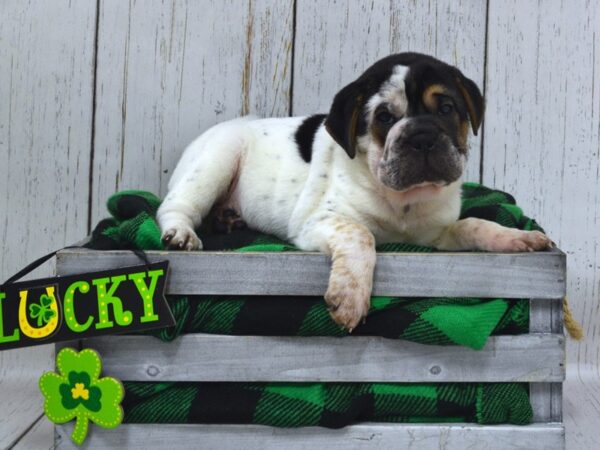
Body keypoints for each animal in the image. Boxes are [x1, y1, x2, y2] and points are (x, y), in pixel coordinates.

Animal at [157, 52, 552, 330]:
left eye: (446, 108)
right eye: (384, 118)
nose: (423, 137)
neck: (403, 200)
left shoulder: (436, 235)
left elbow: (474, 225)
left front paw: (516, 237)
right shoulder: (318, 221)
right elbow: (361, 235)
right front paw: (350, 297)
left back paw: (227, 218)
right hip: (216, 160)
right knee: (175, 207)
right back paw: (182, 233)